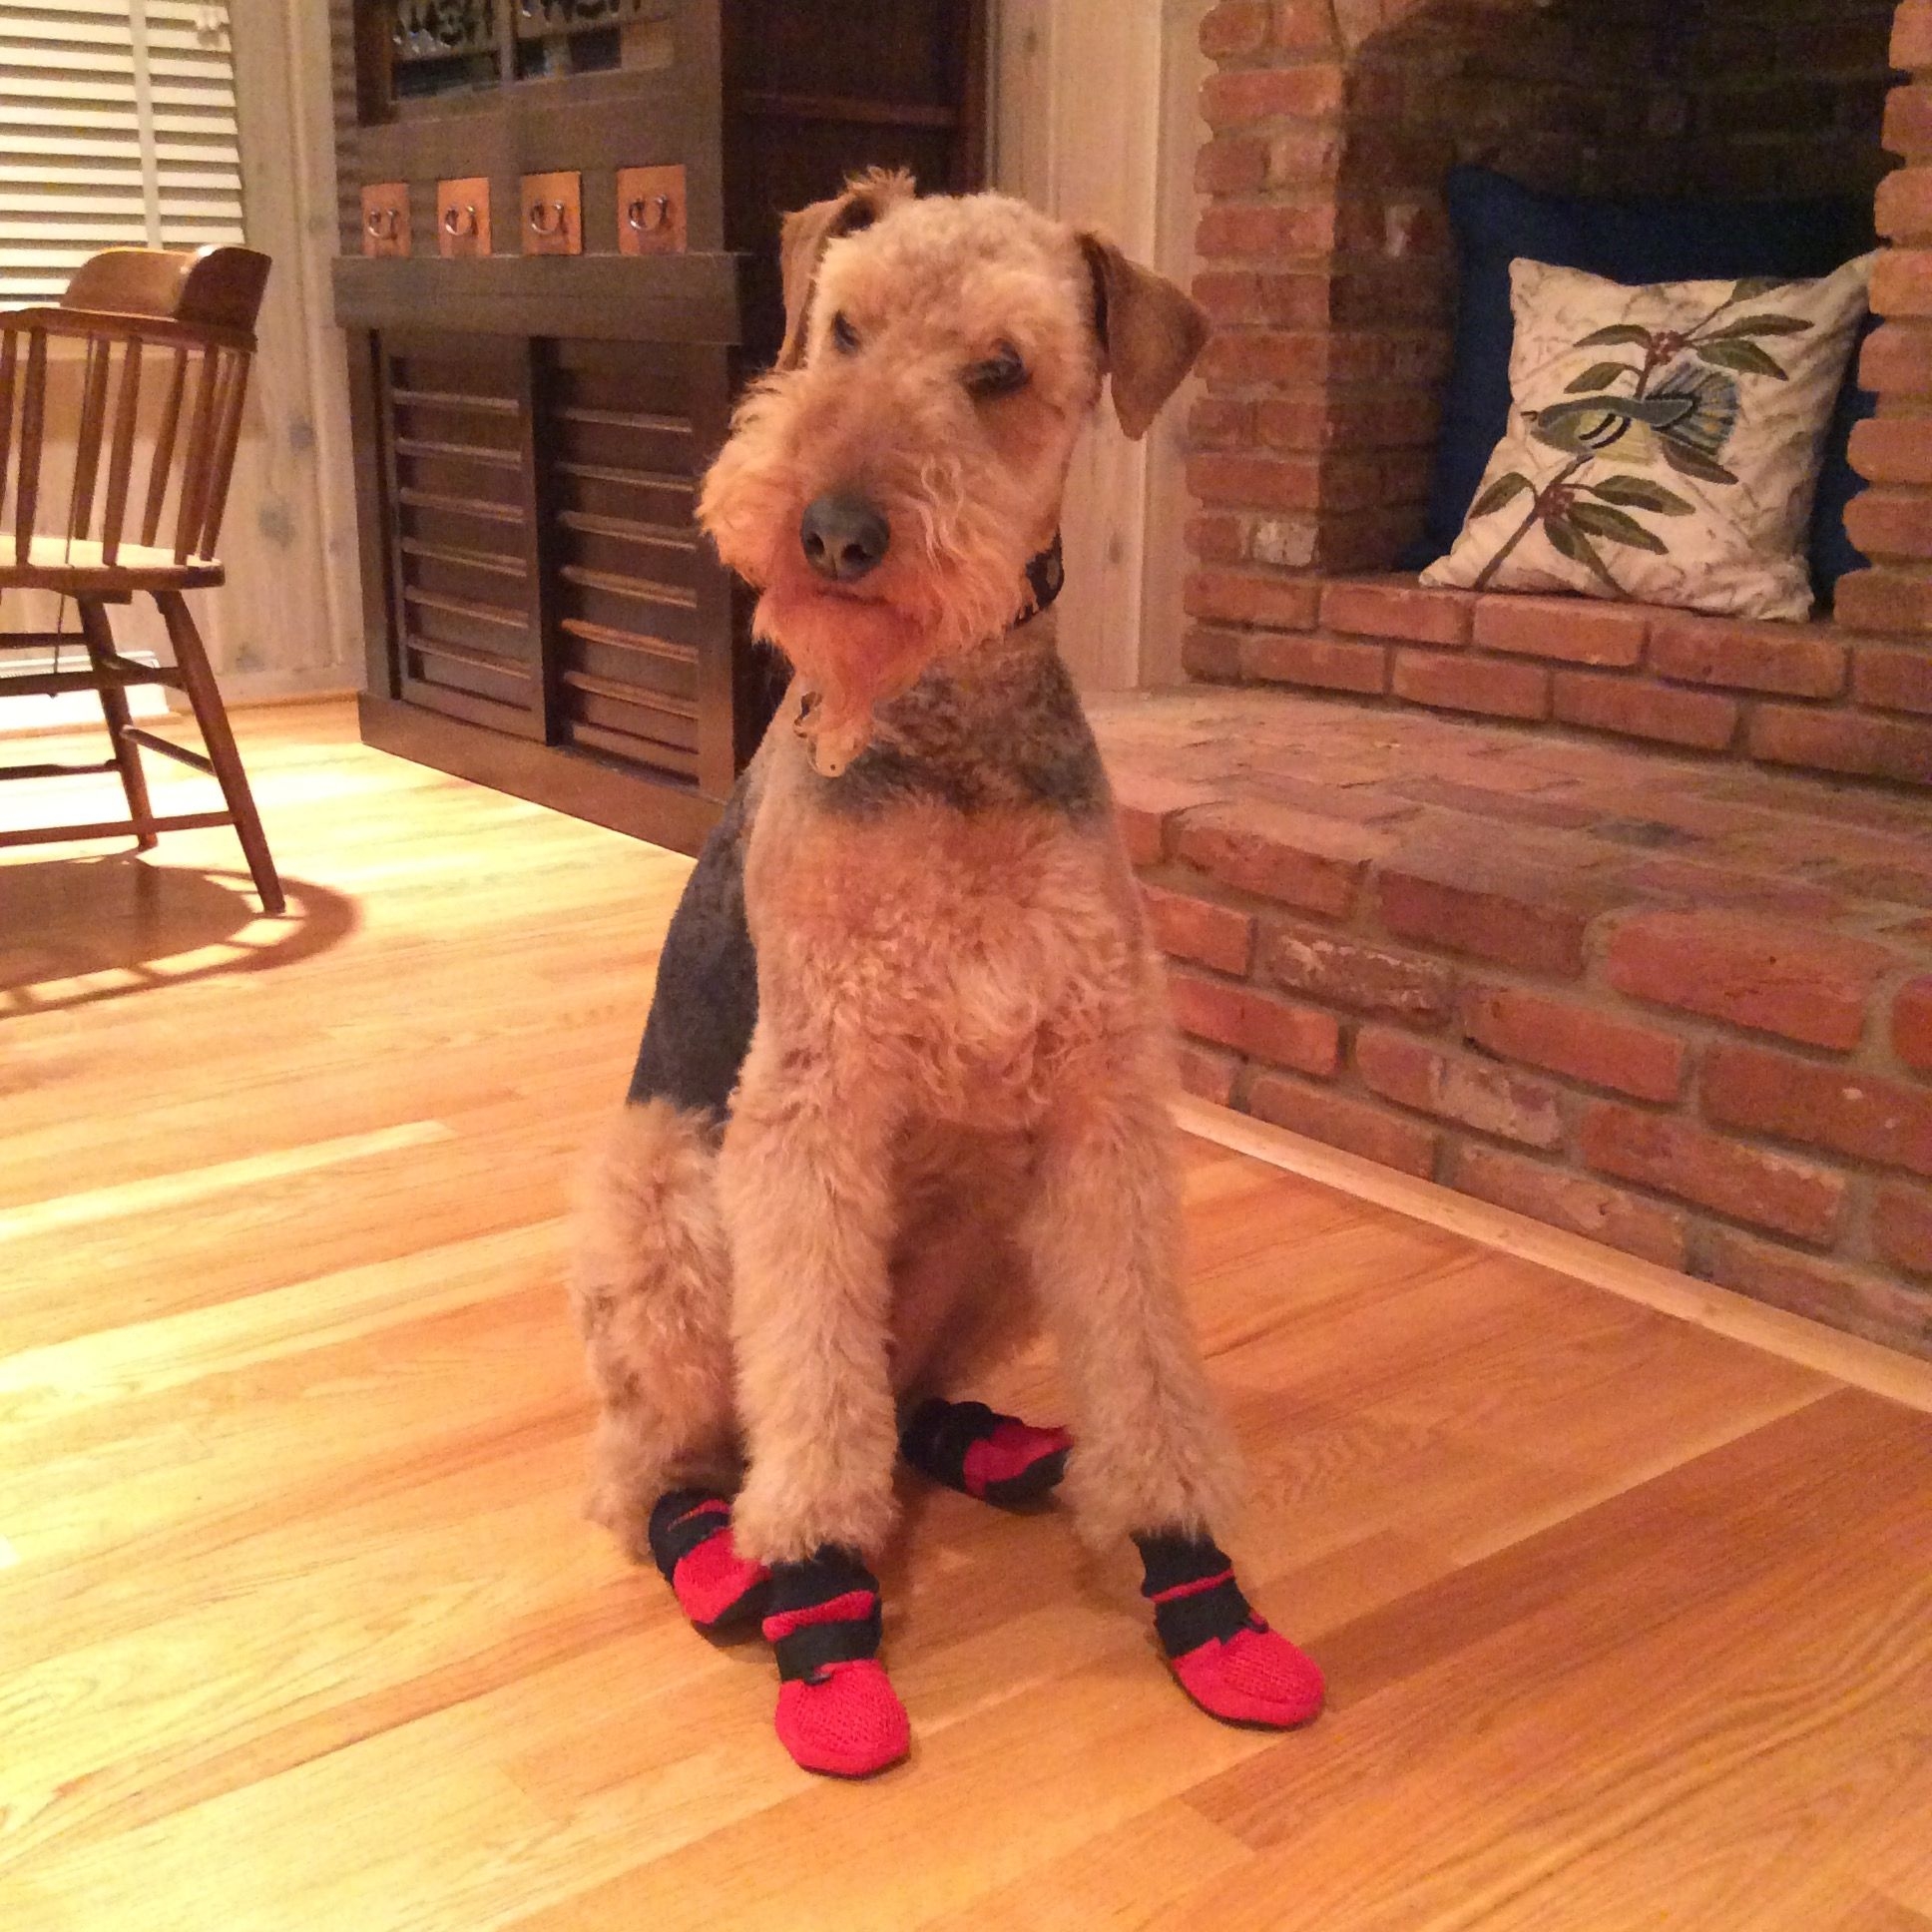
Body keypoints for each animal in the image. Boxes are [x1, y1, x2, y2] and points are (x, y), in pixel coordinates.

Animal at [572, 174, 1321, 1769]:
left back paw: (989, 1439)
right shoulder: (808, 1107)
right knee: (666, 1454)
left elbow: (1146, 1364)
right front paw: (821, 1598)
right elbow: (805, 1393)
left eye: (1001, 370)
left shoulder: (1101, 1103)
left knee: (896, 1388)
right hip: (660, 1195)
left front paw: (1199, 1590)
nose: (834, 531)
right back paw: (725, 1556)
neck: (942, 731)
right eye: (843, 327)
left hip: (994, 1217)